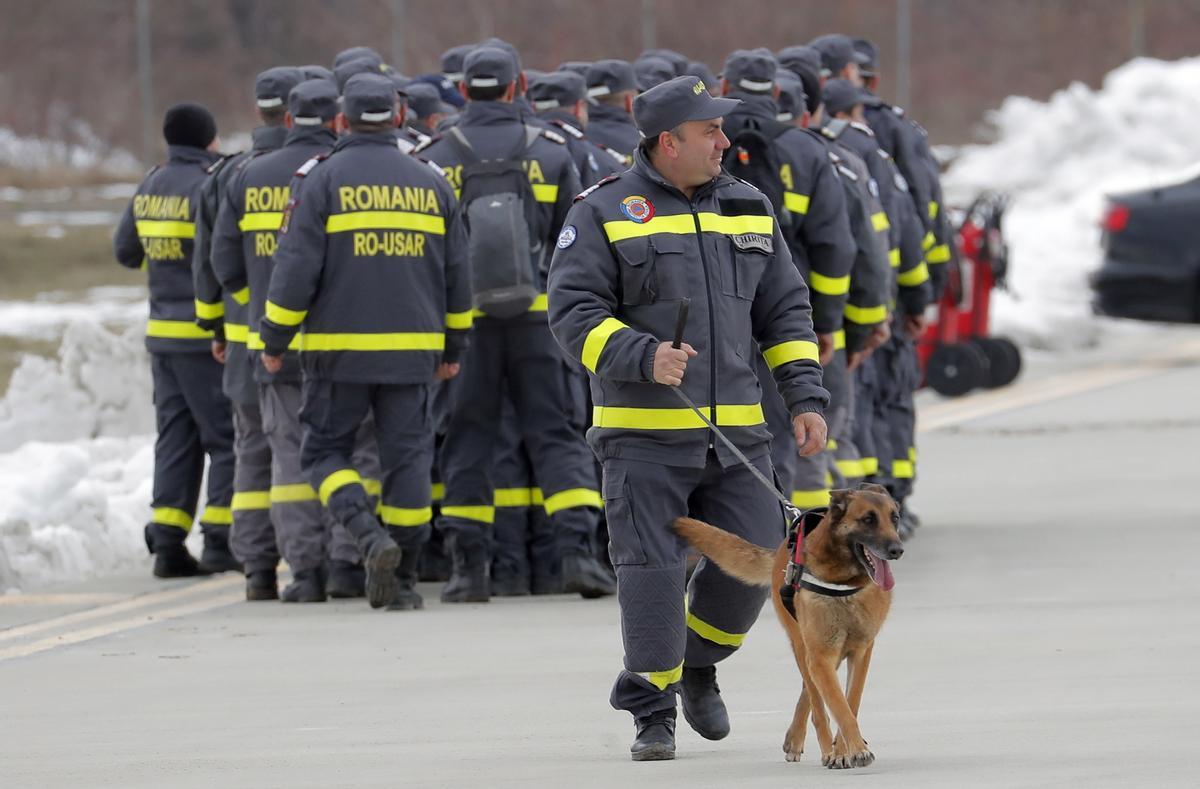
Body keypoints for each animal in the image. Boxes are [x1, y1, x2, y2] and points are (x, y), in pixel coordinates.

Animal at [676, 482, 902, 767]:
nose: (897, 549)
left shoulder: (860, 653)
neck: (844, 582)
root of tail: (783, 546)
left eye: (895, 518)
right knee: (816, 704)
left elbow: (850, 703)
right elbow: (838, 707)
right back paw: (823, 749)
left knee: (810, 692)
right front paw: (850, 750)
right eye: (868, 520)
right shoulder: (821, 655)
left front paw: (847, 748)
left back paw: (804, 740)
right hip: (804, 647)